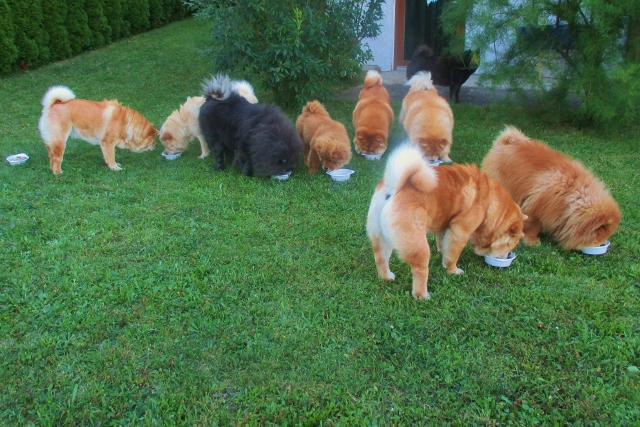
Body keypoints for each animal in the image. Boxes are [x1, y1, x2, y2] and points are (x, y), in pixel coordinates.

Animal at [367, 144, 526, 299]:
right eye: (508, 245)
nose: (508, 255)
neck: (489, 204)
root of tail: (393, 187)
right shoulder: (460, 231)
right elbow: (452, 255)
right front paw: (452, 270)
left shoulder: (444, 227)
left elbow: (443, 243)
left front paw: (442, 251)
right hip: (418, 244)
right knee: (420, 270)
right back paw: (422, 295)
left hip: (381, 238)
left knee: (381, 259)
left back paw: (387, 277)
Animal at [482, 126, 621, 250]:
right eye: (599, 238)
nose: (602, 244)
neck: (573, 195)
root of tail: (508, 140)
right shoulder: (536, 209)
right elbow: (533, 227)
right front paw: (532, 242)